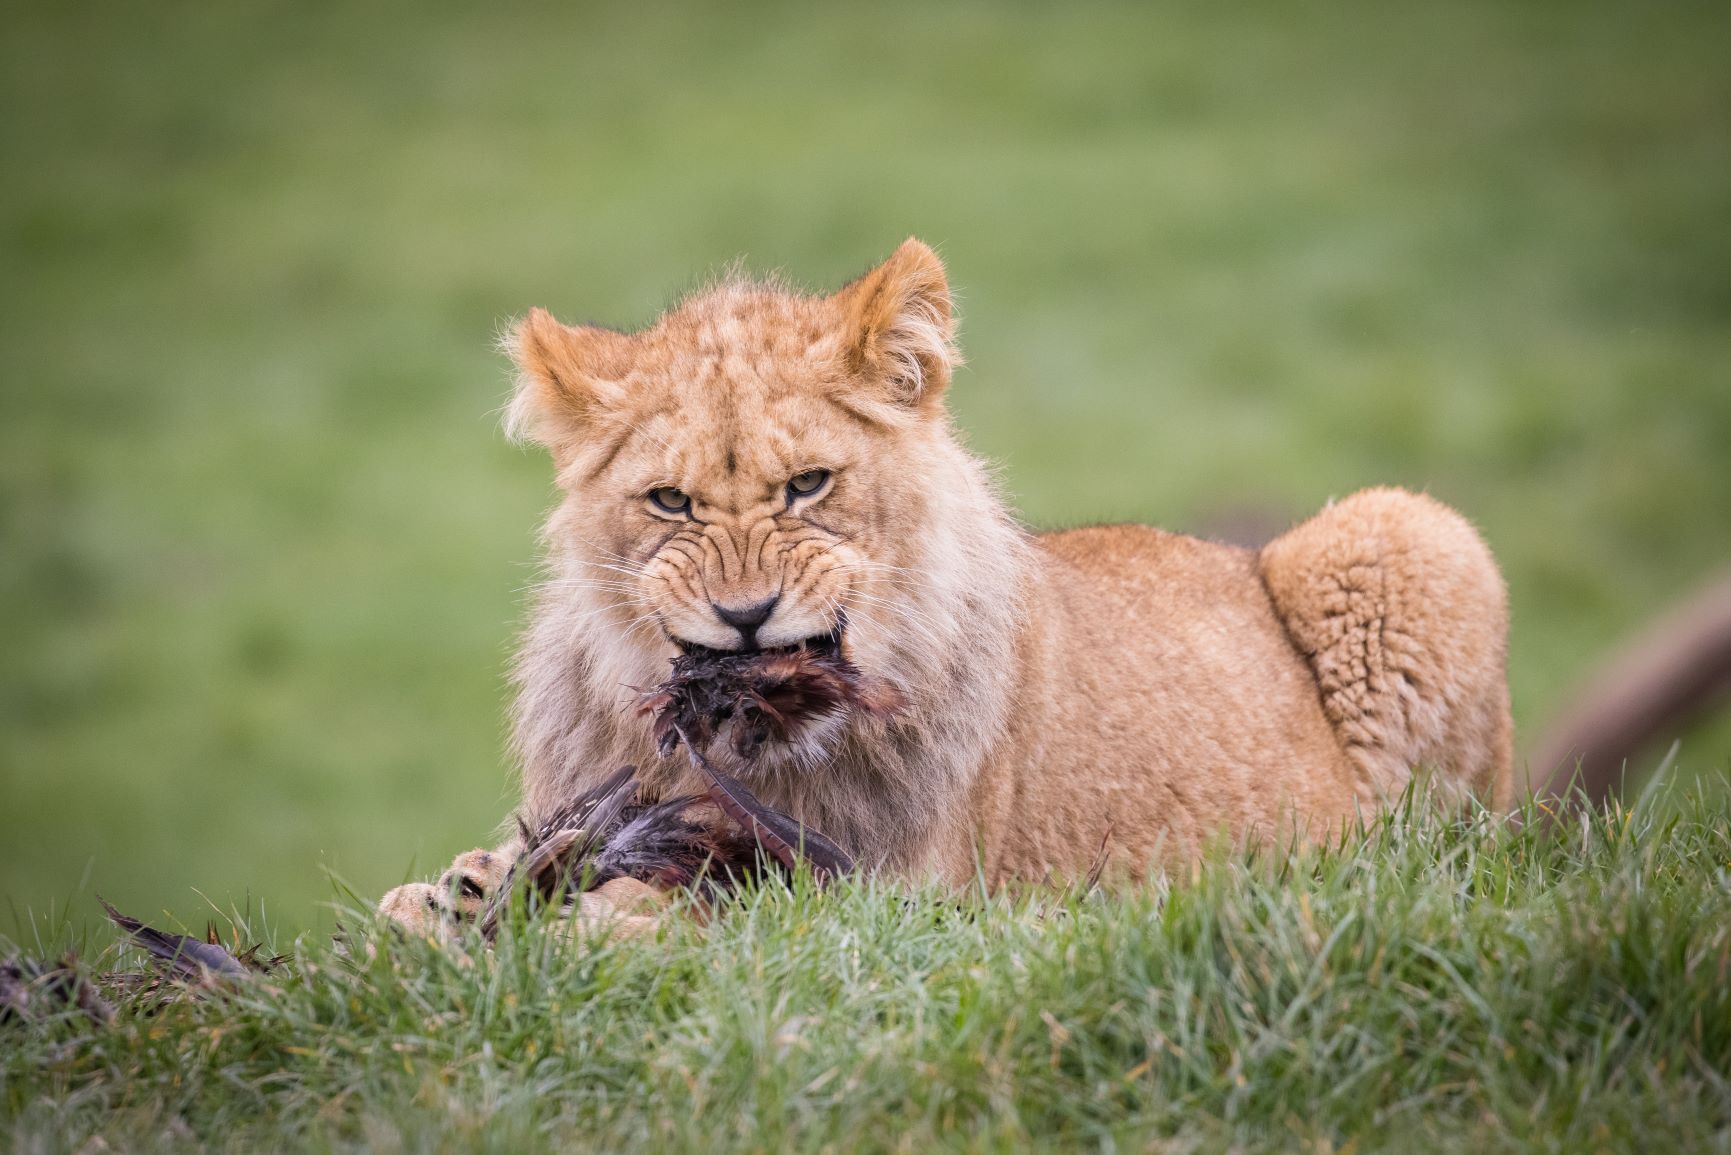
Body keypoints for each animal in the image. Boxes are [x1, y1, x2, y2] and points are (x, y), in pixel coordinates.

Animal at [382, 238, 1516, 935]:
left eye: (808, 485)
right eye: (670, 502)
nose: (745, 619)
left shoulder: (882, 888)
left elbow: (719, 901)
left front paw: (593, 915)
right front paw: (451, 898)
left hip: (1413, 533)